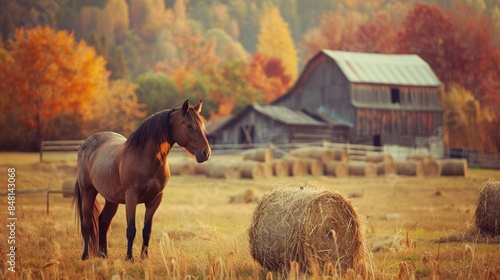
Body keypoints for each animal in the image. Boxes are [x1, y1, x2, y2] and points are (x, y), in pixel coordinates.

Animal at [72, 99, 209, 260]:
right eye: (189, 125)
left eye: (202, 126)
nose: (206, 153)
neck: (146, 157)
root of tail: (86, 143)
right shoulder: (131, 198)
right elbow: (131, 229)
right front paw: (129, 258)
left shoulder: (154, 200)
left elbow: (146, 230)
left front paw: (144, 257)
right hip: (88, 192)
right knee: (87, 224)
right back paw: (85, 256)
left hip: (111, 199)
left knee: (103, 222)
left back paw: (103, 255)